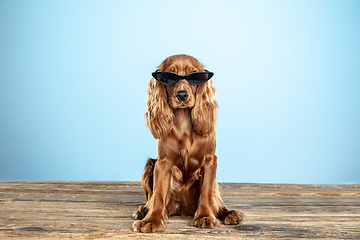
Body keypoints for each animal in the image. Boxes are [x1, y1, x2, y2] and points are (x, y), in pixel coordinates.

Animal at [131, 54, 242, 232]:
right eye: (168, 77)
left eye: (195, 75)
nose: (182, 95)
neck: (183, 122)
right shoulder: (163, 162)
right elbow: (158, 194)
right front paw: (152, 219)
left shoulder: (210, 160)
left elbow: (207, 191)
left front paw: (204, 216)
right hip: (150, 164)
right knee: (150, 198)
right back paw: (143, 210)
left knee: (216, 199)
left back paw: (229, 213)